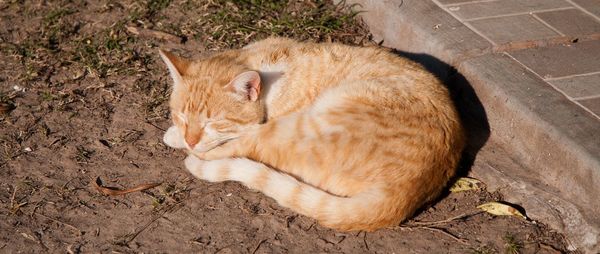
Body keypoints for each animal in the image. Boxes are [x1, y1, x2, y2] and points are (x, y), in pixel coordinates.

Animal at [158, 37, 464, 230]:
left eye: (214, 122)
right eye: (181, 115)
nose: (190, 138)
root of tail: (405, 193)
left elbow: (227, 142)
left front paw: (177, 138)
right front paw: (176, 133)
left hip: (296, 128)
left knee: (237, 150)